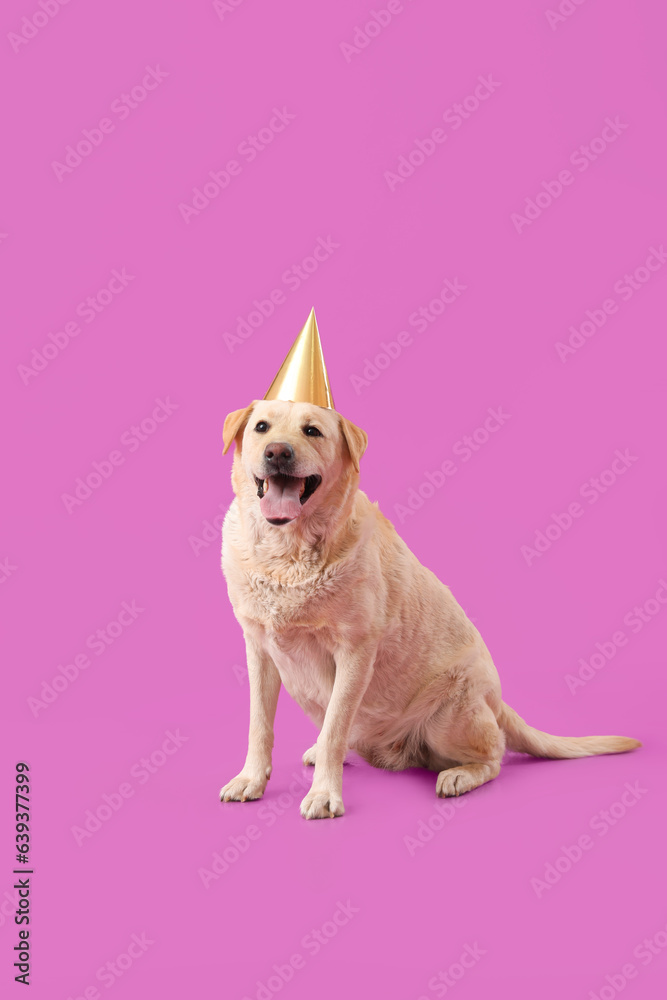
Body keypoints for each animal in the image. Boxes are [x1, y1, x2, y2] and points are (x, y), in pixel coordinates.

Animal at [220, 394, 640, 816]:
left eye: (312, 430)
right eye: (261, 428)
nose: (277, 452)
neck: (286, 554)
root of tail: (496, 699)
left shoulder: (355, 653)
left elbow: (334, 730)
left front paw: (324, 794)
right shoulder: (259, 649)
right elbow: (260, 725)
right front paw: (251, 779)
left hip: (449, 714)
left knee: (494, 755)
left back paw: (459, 775)